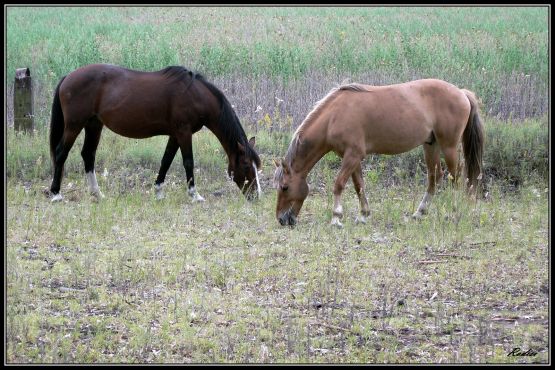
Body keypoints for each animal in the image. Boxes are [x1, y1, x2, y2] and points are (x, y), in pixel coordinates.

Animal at [48, 63, 262, 202]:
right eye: (245, 165)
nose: (256, 196)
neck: (195, 95)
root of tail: (68, 77)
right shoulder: (184, 132)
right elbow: (188, 162)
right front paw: (195, 195)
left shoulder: (175, 134)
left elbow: (166, 161)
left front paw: (158, 191)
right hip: (74, 125)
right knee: (61, 153)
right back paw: (56, 194)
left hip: (94, 125)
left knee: (88, 155)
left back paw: (96, 193)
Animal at [276, 79, 484, 227]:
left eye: (285, 187)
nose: (281, 219)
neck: (333, 116)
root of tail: (462, 93)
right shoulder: (352, 157)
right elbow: (359, 185)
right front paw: (363, 215)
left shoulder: (352, 156)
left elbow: (339, 184)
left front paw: (336, 218)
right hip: (430, 145)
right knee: (435, 177)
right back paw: (419, 212)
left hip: (449, 147)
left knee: (456, 177)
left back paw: (454, 212)